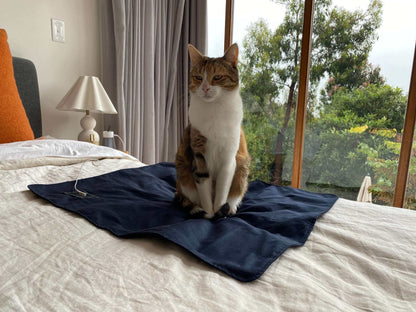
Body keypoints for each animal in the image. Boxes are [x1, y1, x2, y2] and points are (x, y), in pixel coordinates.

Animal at [175, 43, 250, 219]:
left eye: (217, 77)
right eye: (198, 77)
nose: (205, 88)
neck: (215, 109)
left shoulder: (229, 159)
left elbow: (222, 191)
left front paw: (219, 211)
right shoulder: (198, 155)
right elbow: (204, 187)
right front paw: (209, 214)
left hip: (242, 168)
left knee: (236, 192)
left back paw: (231, 207)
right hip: (182, 168)